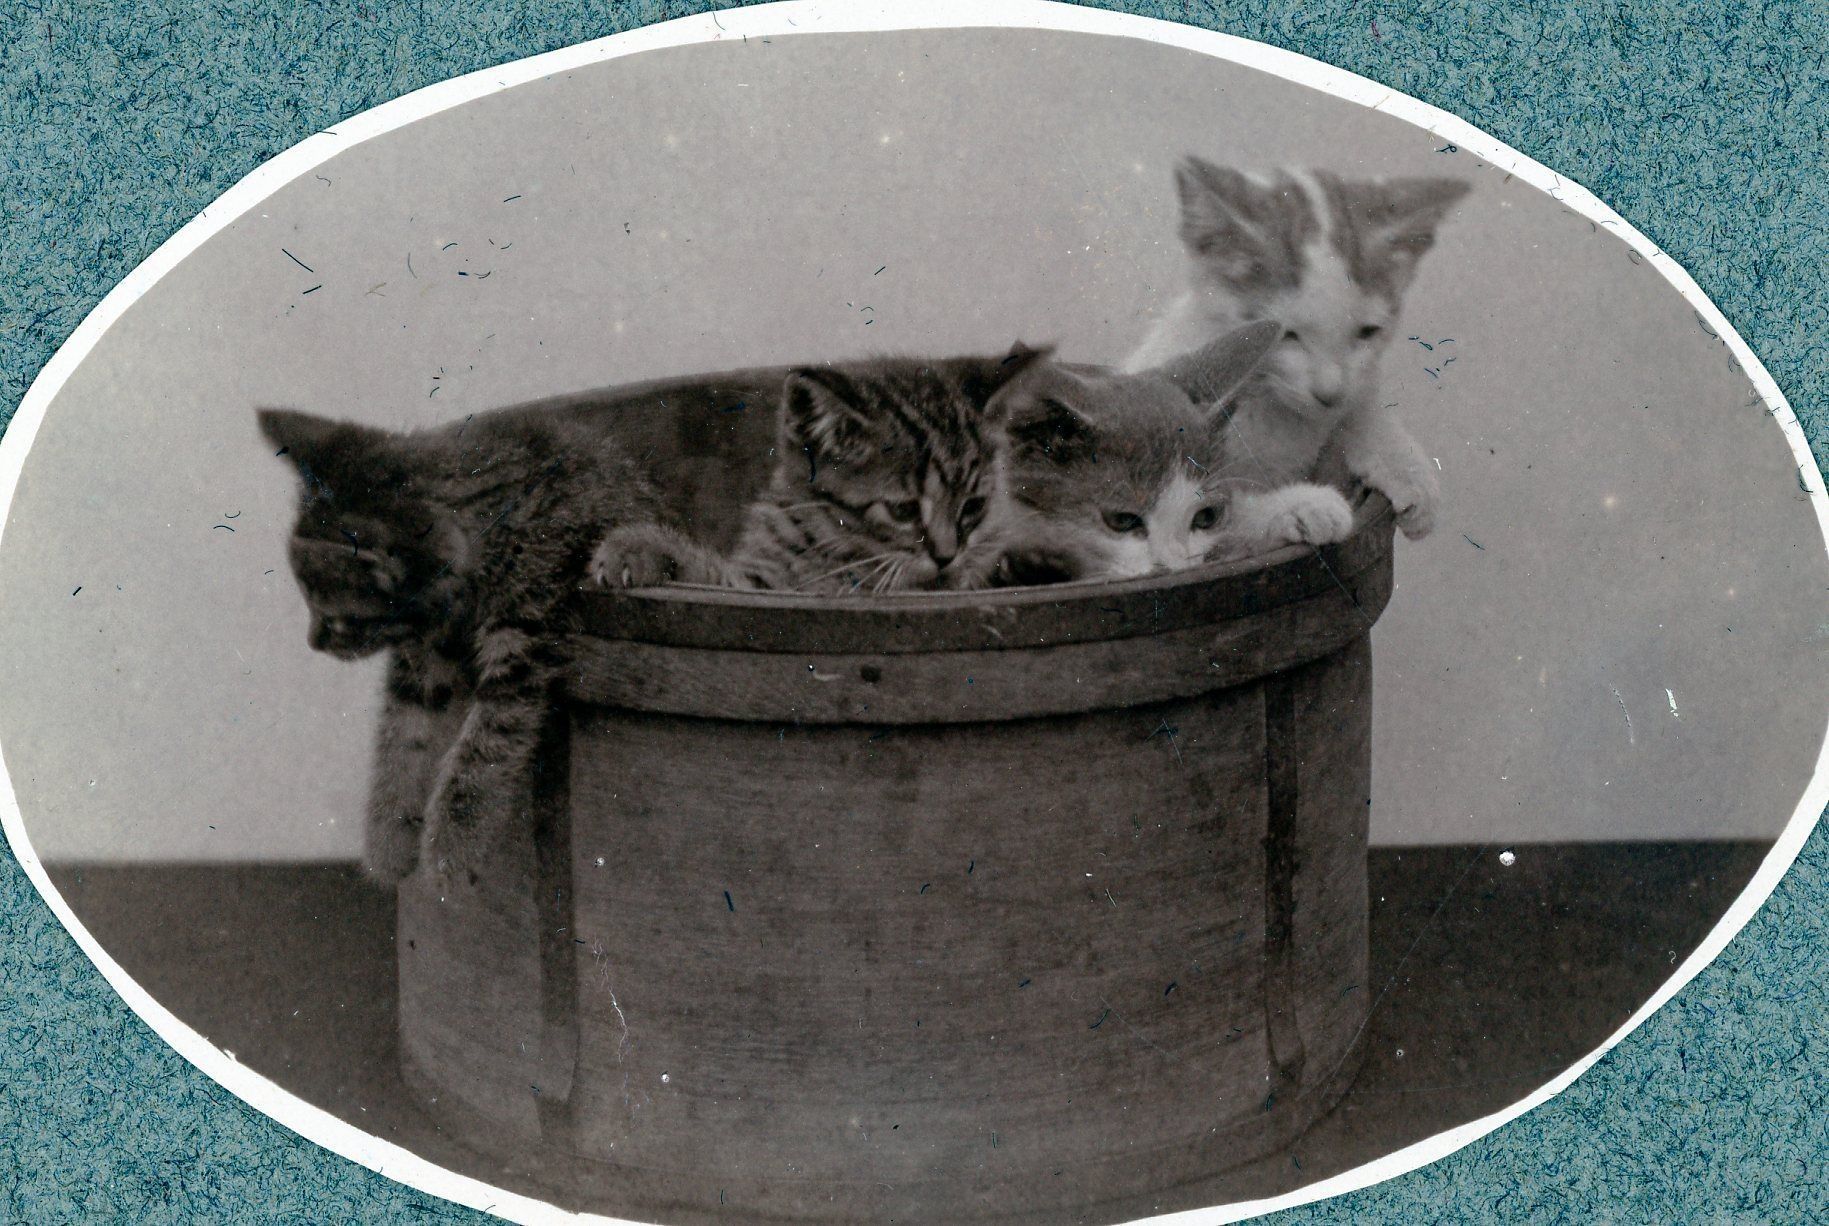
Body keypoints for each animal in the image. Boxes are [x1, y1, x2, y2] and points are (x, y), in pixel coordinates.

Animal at [260, 405, 678, 886]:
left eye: (334, 619)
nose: (312, 642)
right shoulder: (420, 652)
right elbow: (399, 732)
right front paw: (388, 835)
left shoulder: (524, 633)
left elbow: (490, 739)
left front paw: (453, 841)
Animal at [1124, 159, 1471, 540]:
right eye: (1286, 334)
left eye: (1368, 332)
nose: (1329, 394)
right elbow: (1222, 520)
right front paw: (1305, 506)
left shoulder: (1351, 390)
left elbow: (1359, 407)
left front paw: (1407, 468)